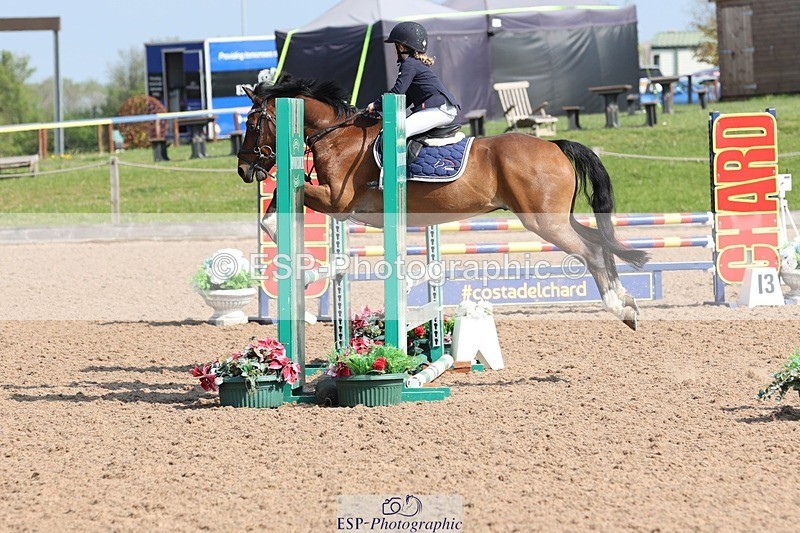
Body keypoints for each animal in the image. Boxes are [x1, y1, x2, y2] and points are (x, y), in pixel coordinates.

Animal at [236, 75, 649, 330]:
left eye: (252, 124)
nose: (243, 169)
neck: (338, 137)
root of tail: (555, 145)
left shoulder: (338, 200)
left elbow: (282, 202)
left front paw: (301, 266)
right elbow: (281, 210)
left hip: (544, 222)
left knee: (591, 251)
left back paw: (618, 308)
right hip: (558, 218)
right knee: (599, 242)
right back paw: (627, 302)